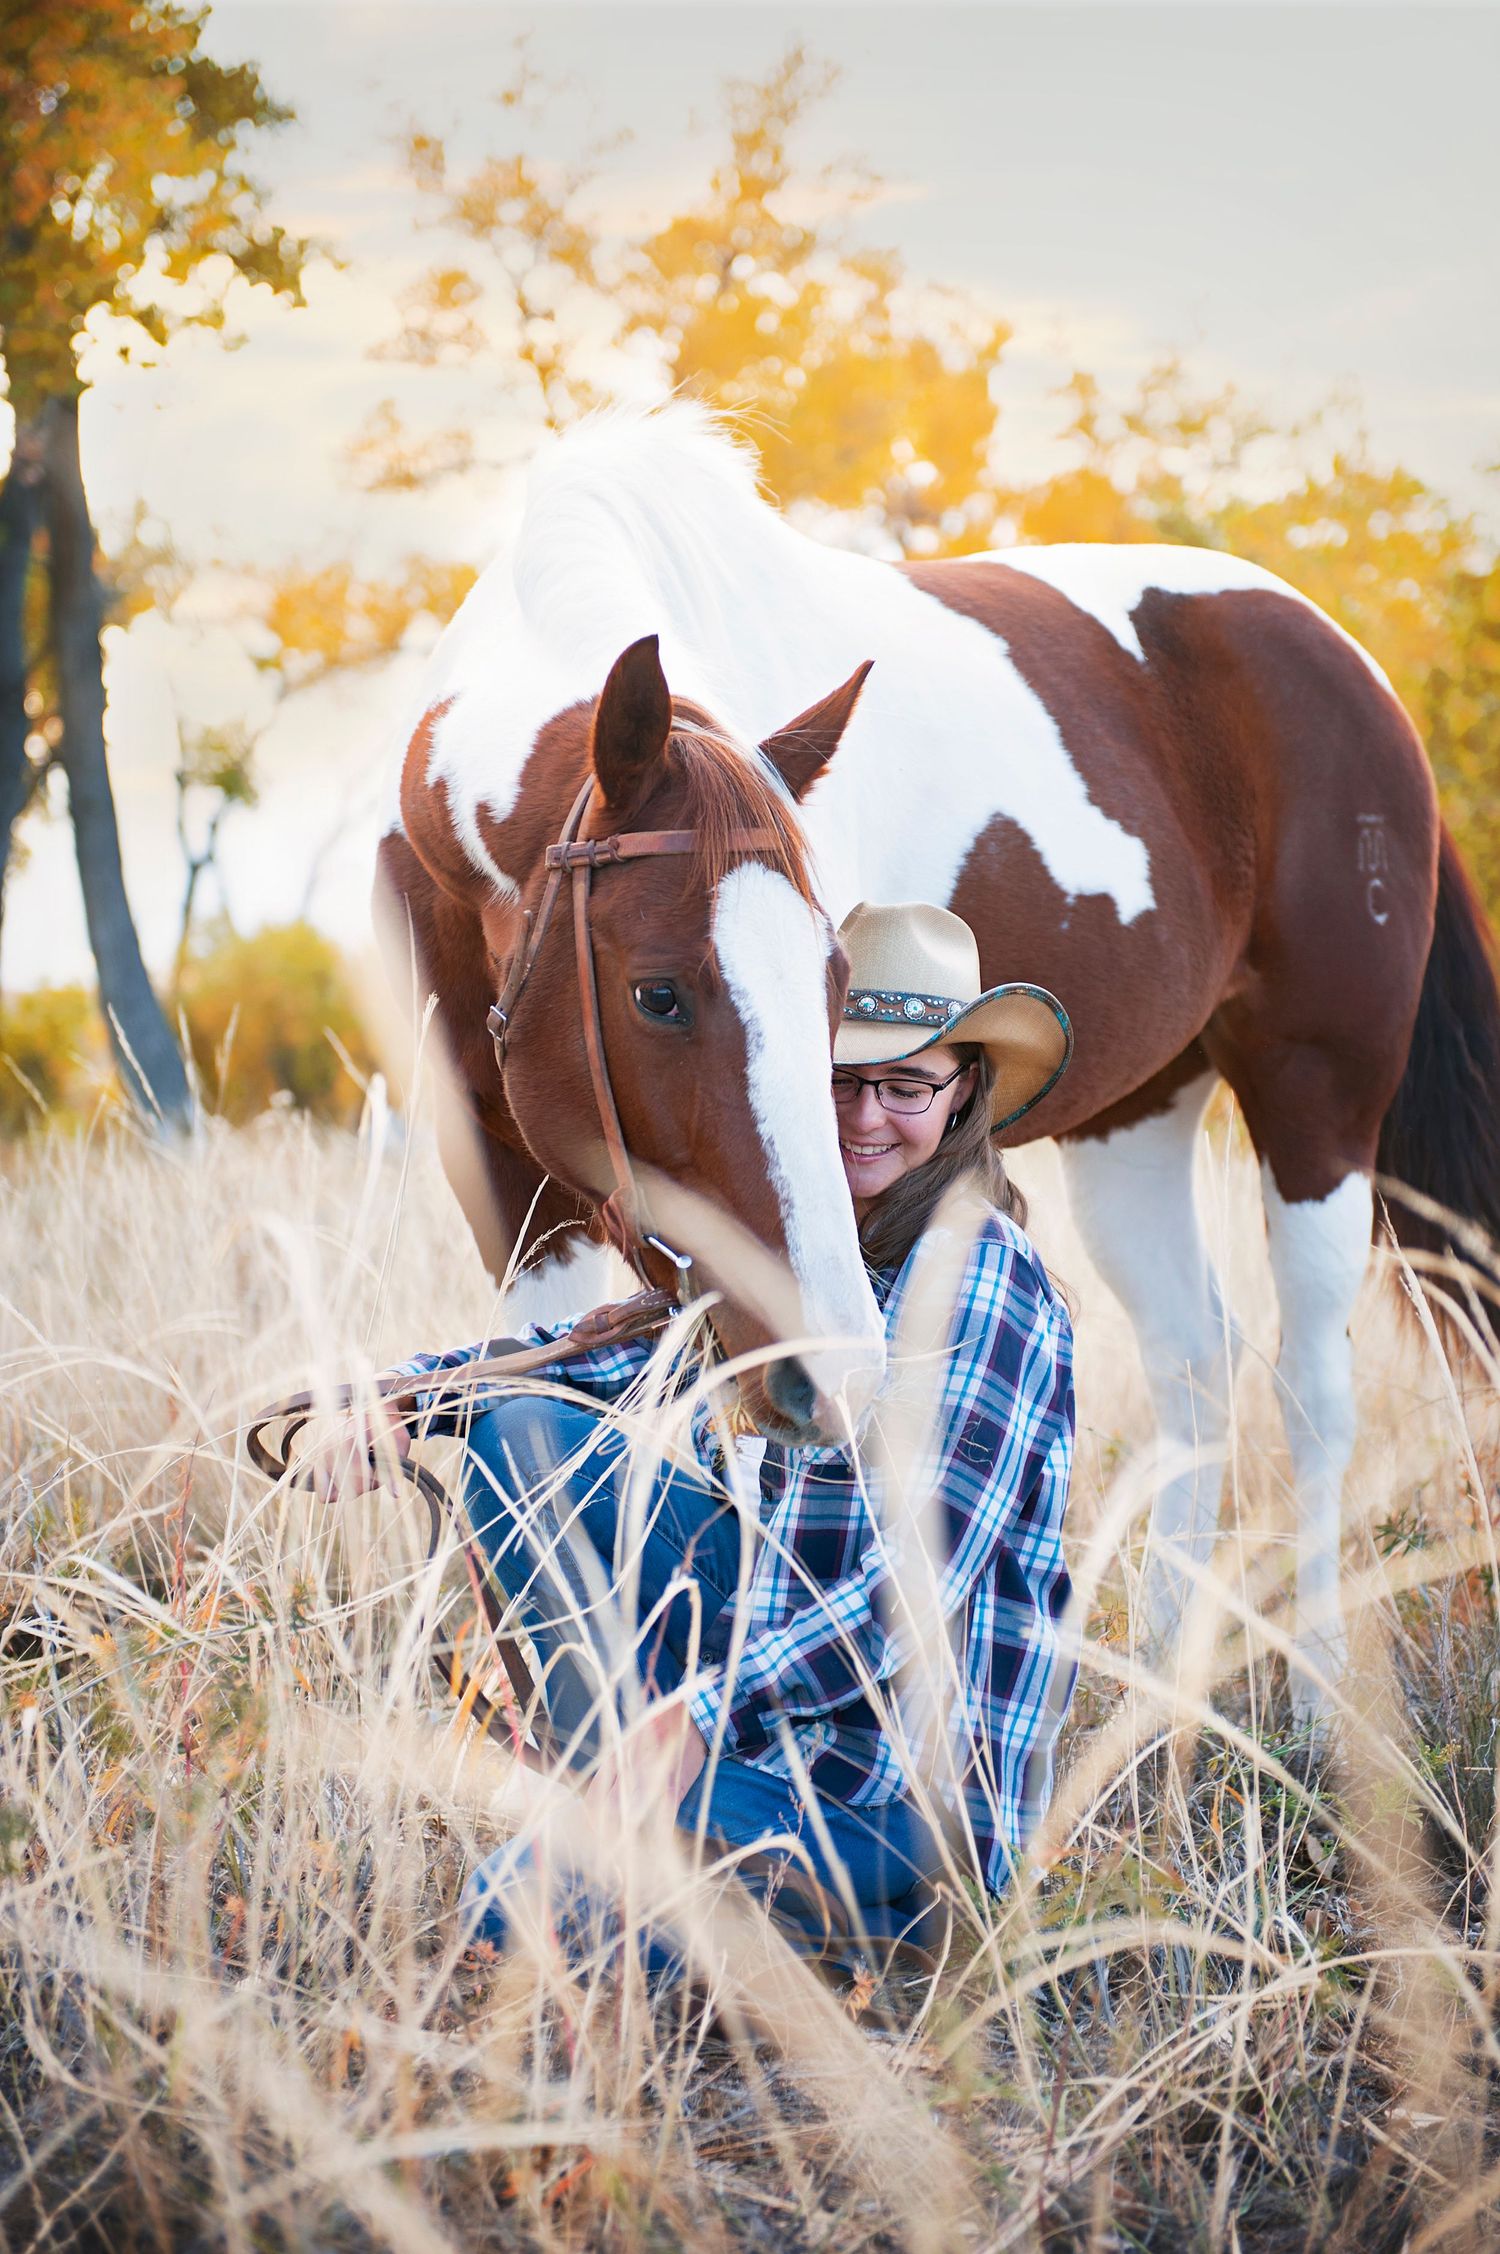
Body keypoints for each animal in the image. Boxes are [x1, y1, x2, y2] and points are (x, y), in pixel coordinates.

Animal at [377, 402, 1500, 1726]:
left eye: (836, 984)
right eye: (657, 992)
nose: (828, 1371)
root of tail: (1349, 664)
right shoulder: (518, 1185)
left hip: (1316, 1094)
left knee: (1312, 1389)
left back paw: (1323, 1695)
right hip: (1135, 1122)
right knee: (1195, 1363)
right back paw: (1157, 1687)